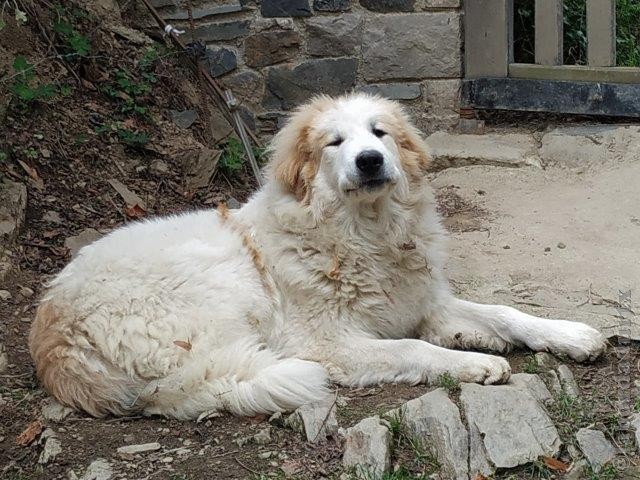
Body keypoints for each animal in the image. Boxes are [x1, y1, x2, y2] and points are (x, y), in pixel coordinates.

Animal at [28, 93, 604, 416]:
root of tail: (52, 336)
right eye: (334, 143)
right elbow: (411, 348)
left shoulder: (422, 298)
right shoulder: (328, 343)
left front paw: (569, 335)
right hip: (219, 287)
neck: (367, 234)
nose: (369, 160)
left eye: (379, 133)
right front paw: (473, 362)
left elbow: (506, 312)